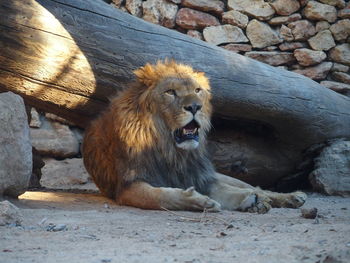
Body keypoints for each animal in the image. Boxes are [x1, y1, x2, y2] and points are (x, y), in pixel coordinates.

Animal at [82, 60, 306, 214]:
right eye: (170, 92)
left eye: (198, 90)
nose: (195, 107)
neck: (171, 150)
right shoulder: (129, 185)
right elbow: (162, 196)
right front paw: (199, 201)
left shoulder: (201, 178)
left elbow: (231, 191)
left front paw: (254, 200)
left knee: (257, 187)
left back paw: (291, 197)